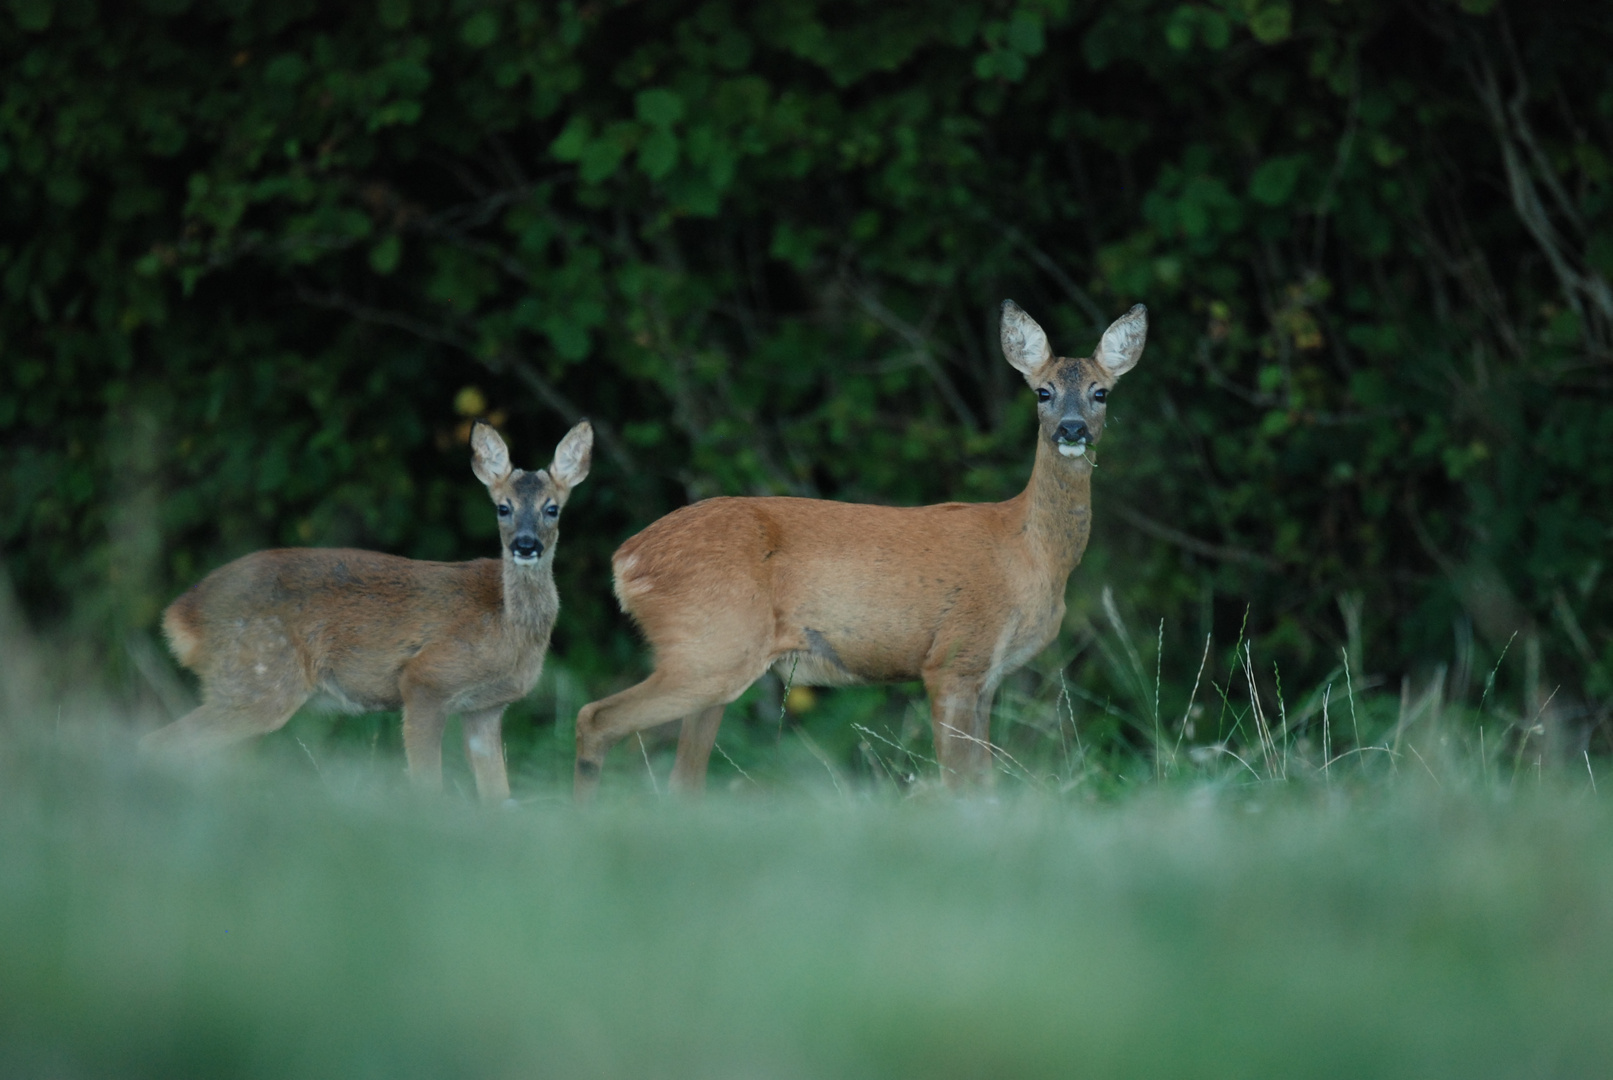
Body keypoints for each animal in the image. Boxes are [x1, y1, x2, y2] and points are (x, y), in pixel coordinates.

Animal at [143, 422, 593, 802]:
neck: (508, 628)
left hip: (242, 689)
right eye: (503, 507)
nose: (525, 544)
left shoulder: (485, 707)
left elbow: (499, 798)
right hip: (257, 681)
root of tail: (181, 616)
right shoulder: (425, 679)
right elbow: (428, 785)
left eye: (552, 508)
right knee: (157, 744)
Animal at [571, 299, 1148, 799]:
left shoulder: (986, 677)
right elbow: (960, 783)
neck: (1031, 555)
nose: (1072, 429)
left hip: (713, 658)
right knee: (596, 718)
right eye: (1042, 392)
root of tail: (625, 559)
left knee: (681, 779)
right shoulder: (952, 657)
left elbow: (984, 782)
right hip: (711, 644)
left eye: (1100, 392)